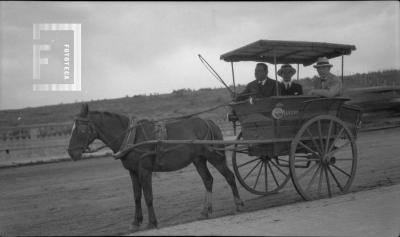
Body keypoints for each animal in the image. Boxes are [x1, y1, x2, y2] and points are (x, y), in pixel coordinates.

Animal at [67, 103, 244, 230]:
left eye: (81, 129)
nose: (71, 152)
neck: (131, 137)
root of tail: (209, 122)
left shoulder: (144, 170)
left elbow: (148, 196)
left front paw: (152, 222)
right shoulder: (133, 172)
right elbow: (137, 196)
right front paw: (136, 222)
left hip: (215, 157)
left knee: (229, 176)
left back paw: (239, 204)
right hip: (199, 160)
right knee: (208, 180)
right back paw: (205, 211)